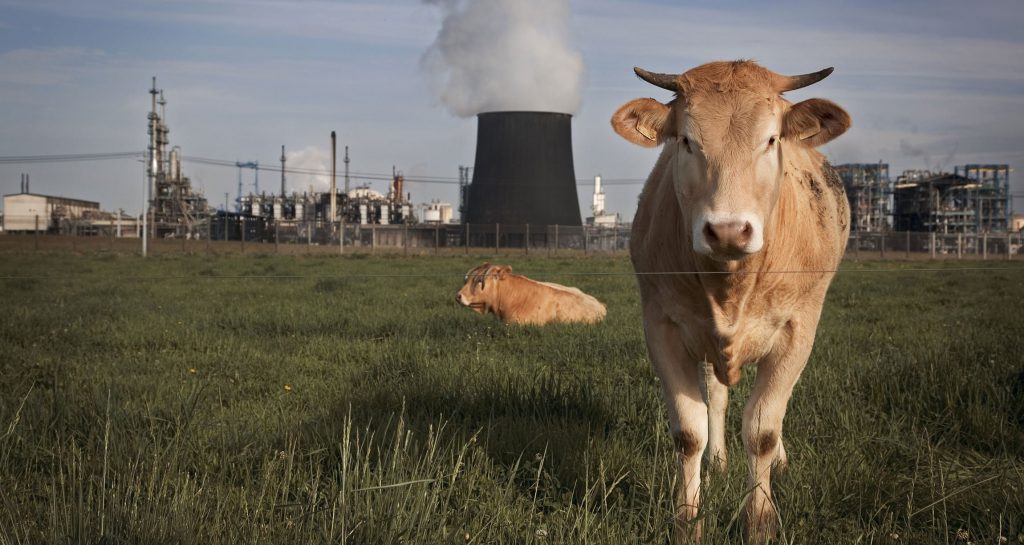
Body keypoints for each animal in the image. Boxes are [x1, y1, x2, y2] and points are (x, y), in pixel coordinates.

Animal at [610, 60, 851, 544]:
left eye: (772, 139)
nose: (726, 231)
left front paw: (759, 520)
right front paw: (687, 520)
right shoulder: (662, 327)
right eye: (686, 140)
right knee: (717, 399)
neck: (730, 285)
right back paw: (719, 460)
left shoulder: (798, 329)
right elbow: (690, 430)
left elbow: (762, 430)